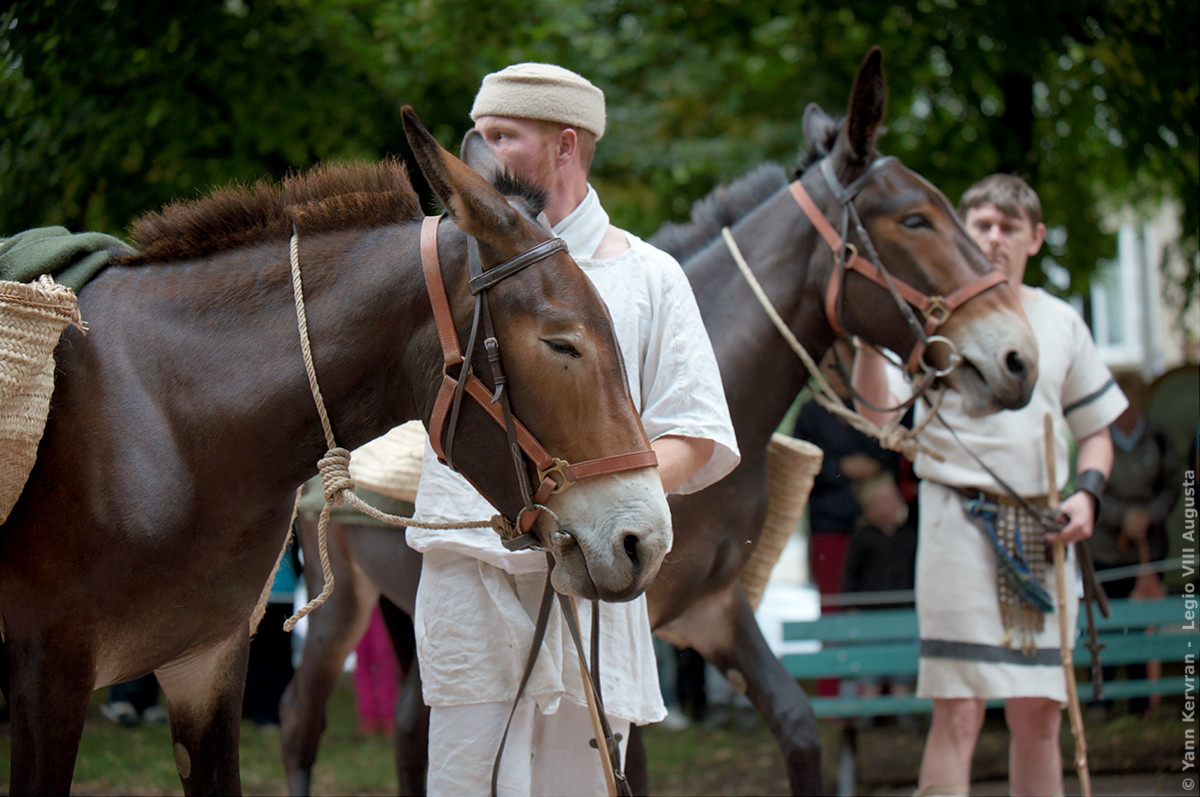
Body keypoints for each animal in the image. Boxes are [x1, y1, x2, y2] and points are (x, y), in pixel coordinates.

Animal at [279, 47, 1039, 795]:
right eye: (915, 219)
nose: (1018, 359)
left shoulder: (716, 611)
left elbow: (798, 728)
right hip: (342, 605)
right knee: (301, 721)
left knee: (412, 728)